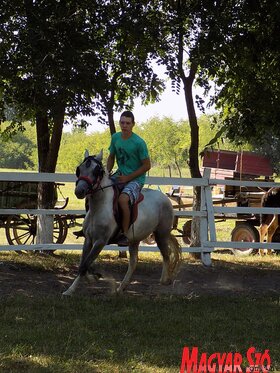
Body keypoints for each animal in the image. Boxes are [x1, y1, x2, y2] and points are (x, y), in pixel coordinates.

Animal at [63, 150, 182, 294]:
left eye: (97, 171)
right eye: (79, 169)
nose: (79, 191)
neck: (99, 207)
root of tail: (165, 198)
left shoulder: (100, 241)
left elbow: (85, 264)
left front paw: (80, 285)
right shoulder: (88, 240)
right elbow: (83, 264)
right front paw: (80, 284)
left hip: (161, 234)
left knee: (166, 255)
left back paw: (164, 280)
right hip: (134, 240)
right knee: (133, 263)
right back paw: (121, 287)